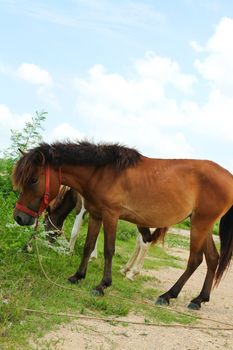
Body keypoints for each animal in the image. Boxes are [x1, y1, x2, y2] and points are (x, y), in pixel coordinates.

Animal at [11, 139, 233, 308]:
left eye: (33, 179)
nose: (19, 218)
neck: (101, 172)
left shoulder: (111, 215)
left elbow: (109, 249)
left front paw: (102, 285)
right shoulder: (96, 215)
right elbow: (88, 246)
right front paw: (77, 276)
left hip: (200, 224)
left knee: (195, 260)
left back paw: (167, 295)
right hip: (201, 225)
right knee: (212, 259)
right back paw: (199, 299)